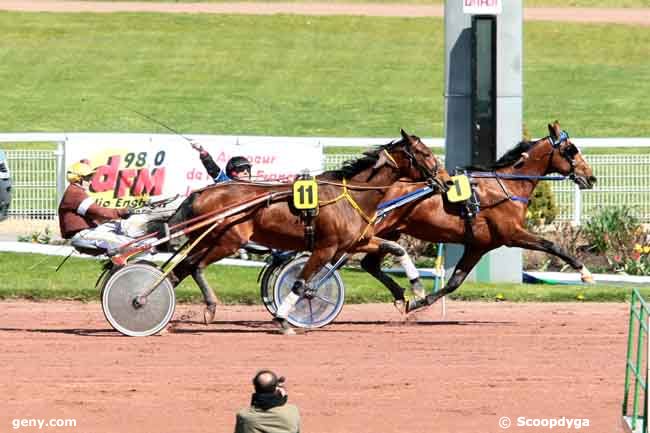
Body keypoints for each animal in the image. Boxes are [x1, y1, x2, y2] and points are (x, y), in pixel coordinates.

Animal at [168, 128, 446, 330]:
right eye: (425, 153)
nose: (445, 180)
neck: (350, 195)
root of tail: (200, 193)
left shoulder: (356, 241)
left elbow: (397, 248)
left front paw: (416, 289)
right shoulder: (325, 248)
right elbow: (301, 284)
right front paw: (283, 318)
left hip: (207, 240)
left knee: (180, 270)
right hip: (227, 240)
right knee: (195, 267)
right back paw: (208, 306)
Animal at [362, 121, 596, 310]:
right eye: (571, 150)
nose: (591, 177)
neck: (506, 185)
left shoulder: (479, 246)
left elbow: (455, 282)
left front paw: (419, 302)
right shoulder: (512, 234)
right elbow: (551, 245)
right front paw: (585, 272)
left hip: (392, 232)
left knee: (369, 264)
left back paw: (400, 295)